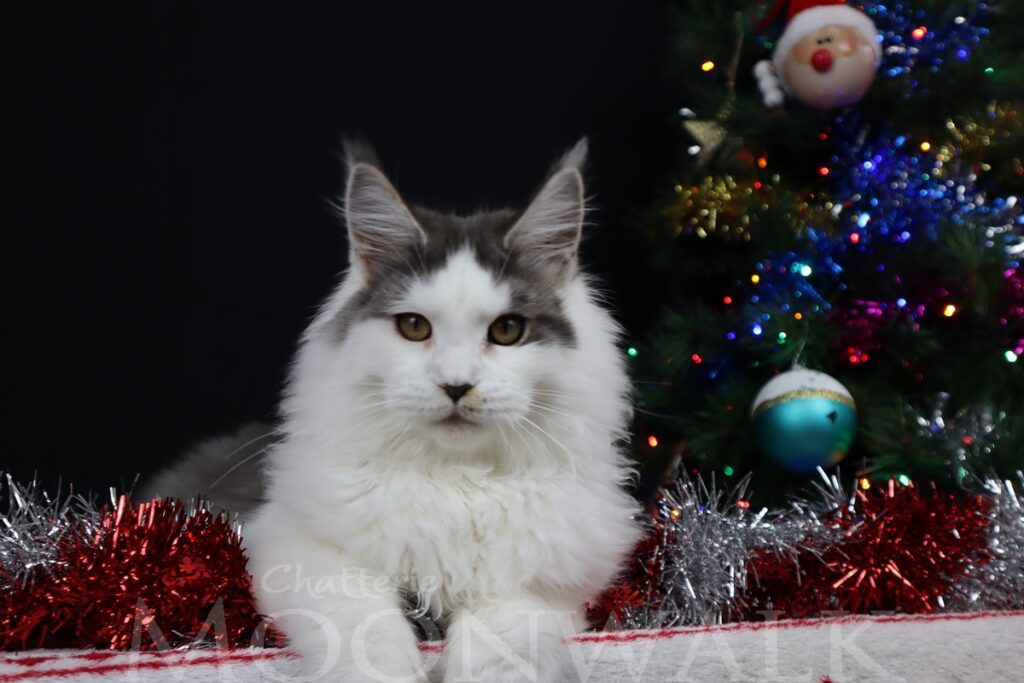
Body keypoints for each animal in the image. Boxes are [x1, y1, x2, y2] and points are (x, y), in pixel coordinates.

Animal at [144, 140, 638, 683]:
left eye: (508, 330)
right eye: (414, 327)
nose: (456, 385)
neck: (456, 482)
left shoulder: (549, 584)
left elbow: (503, 634)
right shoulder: (296, 549)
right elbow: (366, 630)